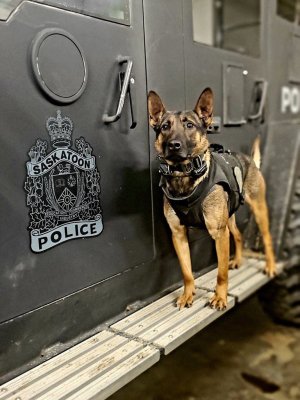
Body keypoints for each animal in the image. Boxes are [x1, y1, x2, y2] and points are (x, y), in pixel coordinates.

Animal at [148, 89, 276, 310]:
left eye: (189, 125)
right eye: (165, 127)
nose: (173, 145)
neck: (184, 176)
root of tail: (250, 160)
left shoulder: (219, 234)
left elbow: (221, 273)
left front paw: (220, 297)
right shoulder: (178, 235)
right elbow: (187, 272)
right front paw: (188, 294)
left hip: (258, 211)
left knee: (267, 239)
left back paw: (270, 265)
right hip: (229, 218)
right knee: (239, 235)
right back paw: (238, 260)